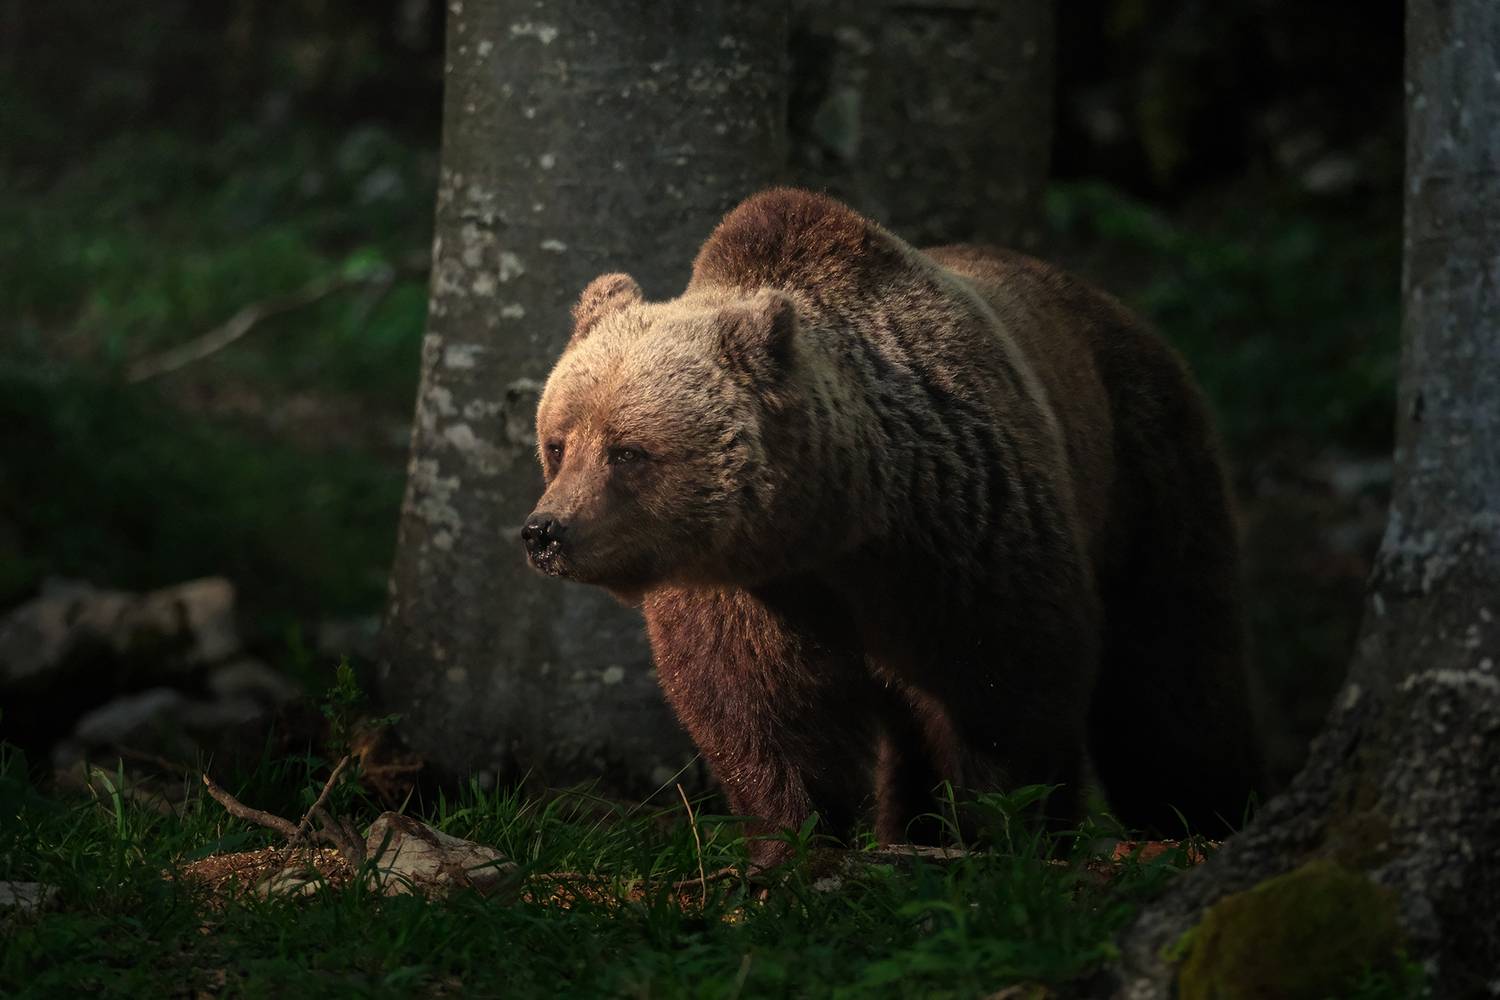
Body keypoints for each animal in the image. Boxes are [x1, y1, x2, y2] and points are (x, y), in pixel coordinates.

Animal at [524, 188, 1265, 865]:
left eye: (627, 451)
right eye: (558, 443)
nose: (545, 531)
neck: (835, 526)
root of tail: (1121, 311)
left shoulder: (965, 538)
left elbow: (1009, 690)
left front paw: (1010, 830)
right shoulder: (745, 590)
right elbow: (761, 713)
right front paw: (792, 841)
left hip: (1143, 468)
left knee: (1172, 668)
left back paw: (1196, 818)